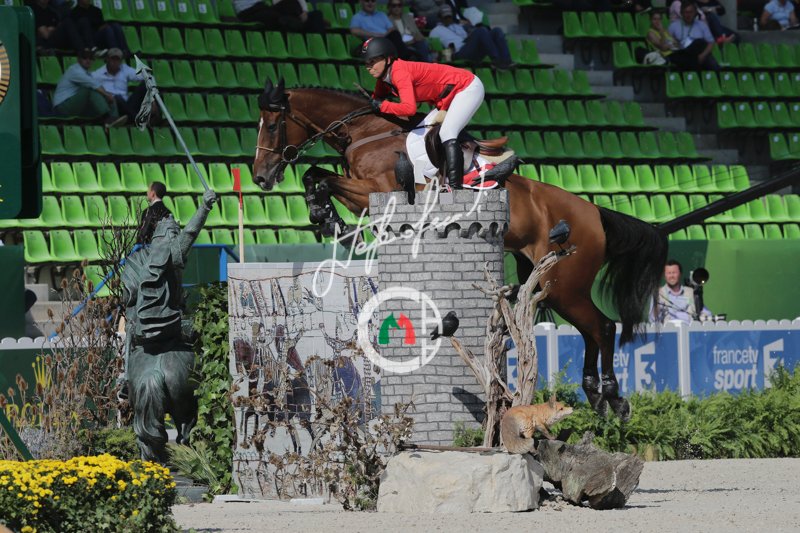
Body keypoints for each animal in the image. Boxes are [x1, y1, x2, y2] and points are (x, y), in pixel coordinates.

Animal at [251, 80, 668, 419]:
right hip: (552, 284)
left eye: (271, 125)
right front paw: (325, 217)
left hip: (566, 284)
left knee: (603, 326)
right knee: (591, 330)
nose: (260, 176)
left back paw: (613, 396)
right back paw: (595, 393)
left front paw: (330, 220)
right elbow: (316, 176)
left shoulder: (376, 193)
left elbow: (323, 179)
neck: (366, 133)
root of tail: (593, 210)